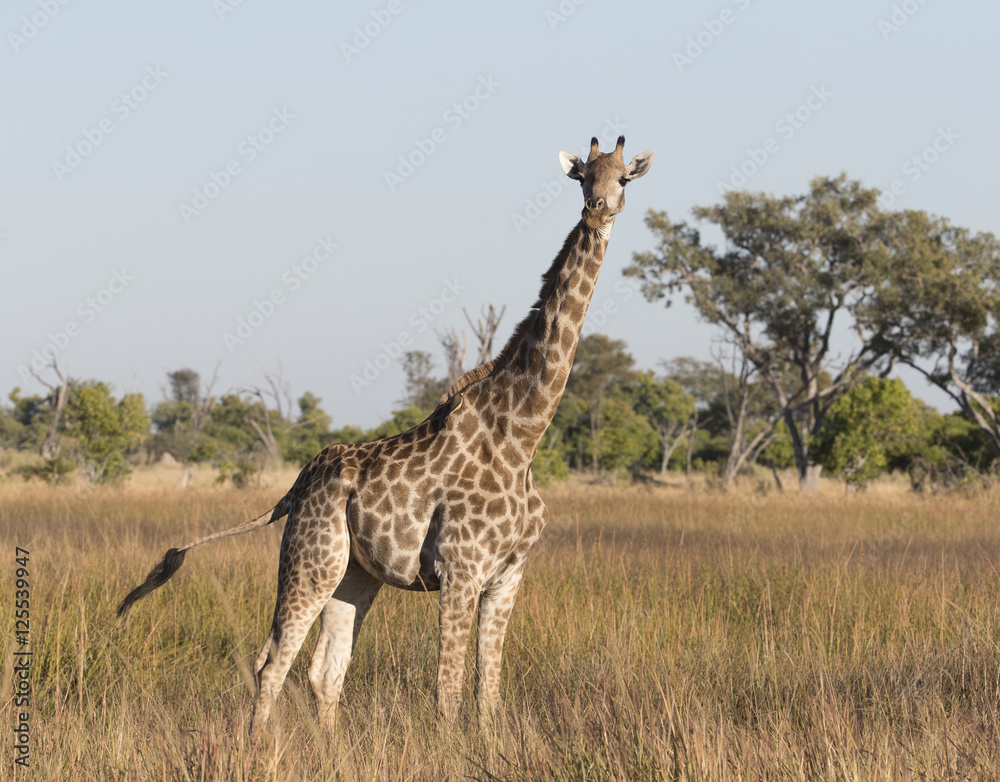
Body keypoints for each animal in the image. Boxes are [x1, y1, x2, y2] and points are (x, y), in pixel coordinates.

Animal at [117, 135, 653, 738]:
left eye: (623, 179)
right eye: (582, 177)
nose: (598, 211)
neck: (523, 437)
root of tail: (297, 485)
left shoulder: (508, 575)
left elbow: (487, 691)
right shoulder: (461, 571)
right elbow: (447, 691)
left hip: (354, 574)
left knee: (325, 670)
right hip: (311, 560)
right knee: (271, 660)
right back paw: (255, 747)